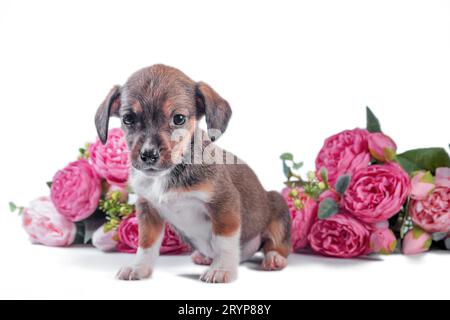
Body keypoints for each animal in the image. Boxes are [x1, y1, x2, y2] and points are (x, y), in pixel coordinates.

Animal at [95, 64, 292, 282]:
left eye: (179, 118)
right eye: (128, 119)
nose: (148, 155)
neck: (168, 174)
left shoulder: (224, 204)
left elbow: (223, 241)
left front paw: (221, 269)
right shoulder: (148, 210)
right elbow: (146, 244)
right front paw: (139, 268)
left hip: (278, 209)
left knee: (278, 244)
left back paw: (274, 258)